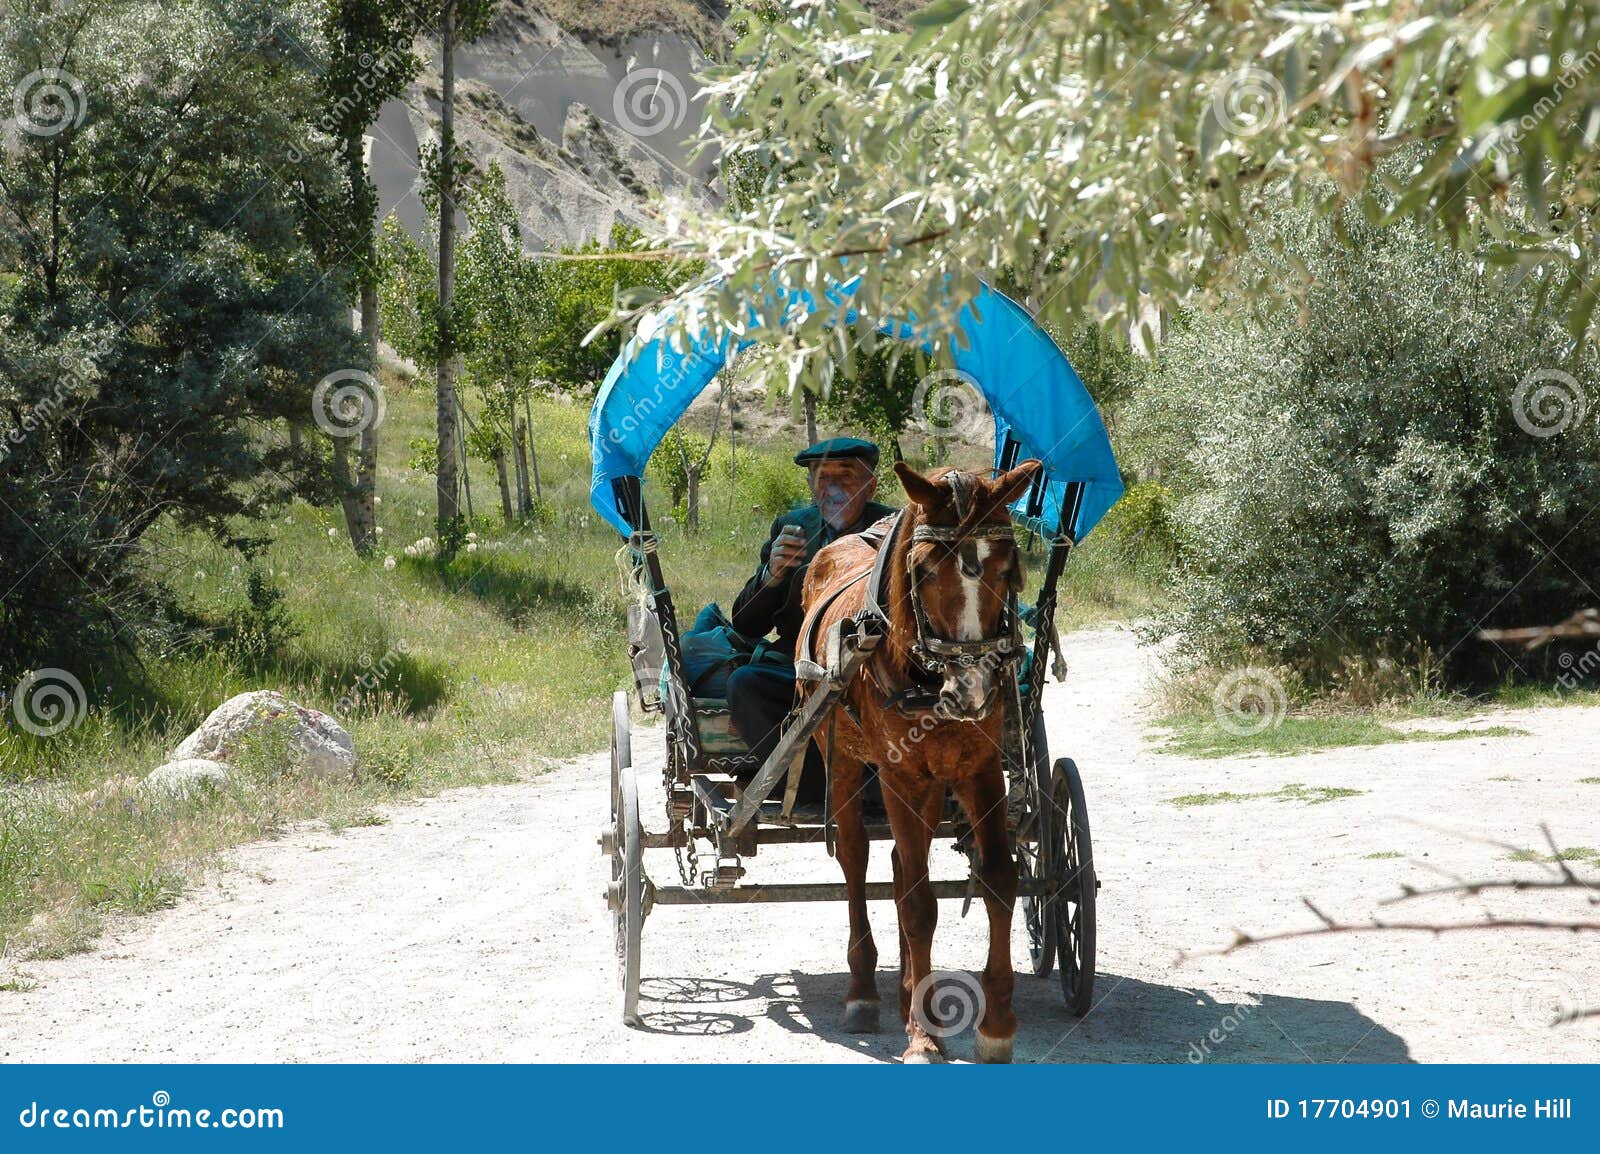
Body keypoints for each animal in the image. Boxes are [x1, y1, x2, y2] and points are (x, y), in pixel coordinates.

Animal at [798, 458, 1043, 1063]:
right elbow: (917, 904)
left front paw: (995, 1025)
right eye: (926, 569)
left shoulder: (979, 769)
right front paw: (923, 1038)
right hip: (843, 760)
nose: (972, 688)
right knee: (858, 859)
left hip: (934, 782)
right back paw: (865, 990)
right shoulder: (900, 776)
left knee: (902, 863)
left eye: (1008, 567)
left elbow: (997, 880)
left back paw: (912, 988)